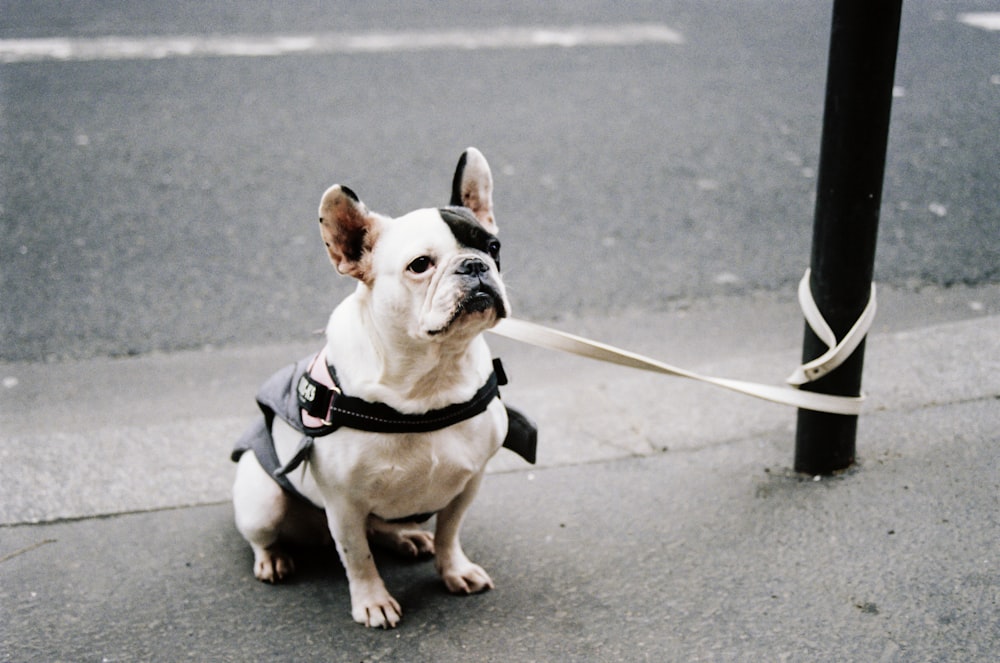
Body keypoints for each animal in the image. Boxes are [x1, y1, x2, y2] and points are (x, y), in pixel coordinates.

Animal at [230, 149, 532, 628]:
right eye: (420, 265)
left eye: (493, 247)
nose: (474, 266)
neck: (432, 375)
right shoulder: (343, 505)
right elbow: (357, 557)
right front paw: (372, 601)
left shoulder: (469, 482)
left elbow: (450, 532)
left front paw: (454, 570)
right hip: (264, 502)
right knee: (267, 533)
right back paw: (273, 558)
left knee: (386, 526)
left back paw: (407, 536)